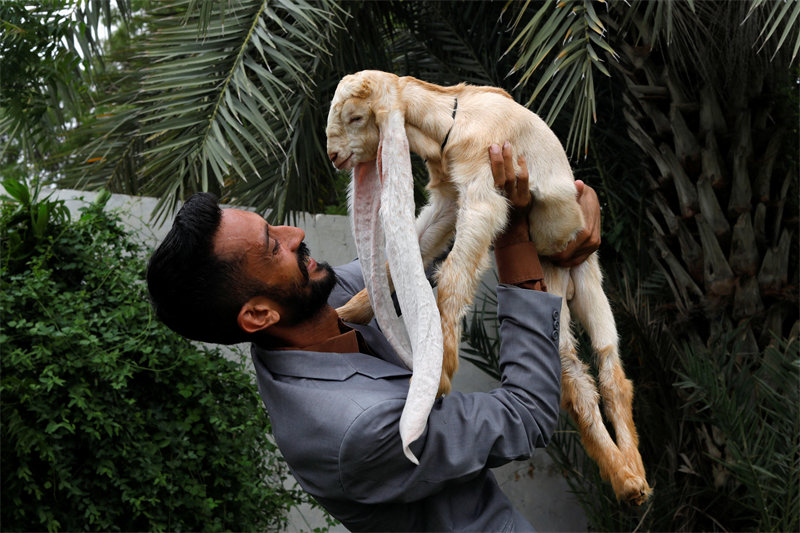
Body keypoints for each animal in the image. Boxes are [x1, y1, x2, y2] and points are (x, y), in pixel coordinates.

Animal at [324, 69, 648, 502]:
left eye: (357, 118)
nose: (334, 157)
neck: (451, 118)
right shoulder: (449, 197)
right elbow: (411, 251)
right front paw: (347, 312)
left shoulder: (484, 191)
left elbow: (452, 277)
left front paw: (441, 370)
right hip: (556, 283)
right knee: (571, 369)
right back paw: (623, 477)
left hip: (582, 269)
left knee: (612, 368)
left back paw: (633, 478)